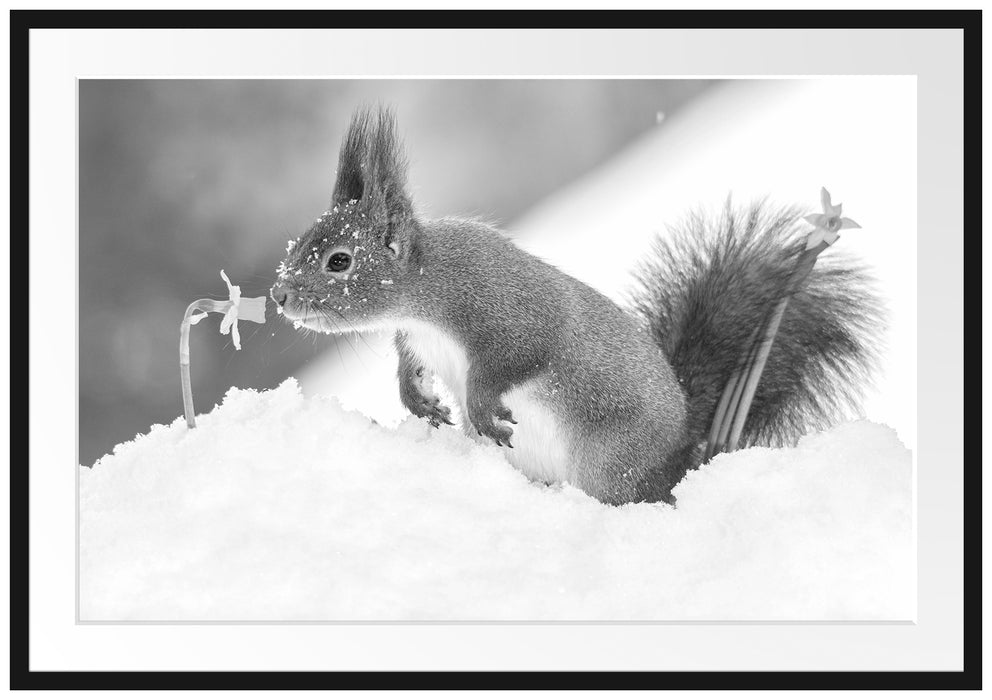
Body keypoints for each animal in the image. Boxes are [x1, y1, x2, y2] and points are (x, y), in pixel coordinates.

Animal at [270, 107, 882, 506]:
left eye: (340, 261)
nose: (279, 295)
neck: (425, 292)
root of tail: (684, 457)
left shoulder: (507, 313)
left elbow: (513, 360)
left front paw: (482, 411)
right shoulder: (417, 340)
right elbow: (409, 368)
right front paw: (420, 402)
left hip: (611, 462)